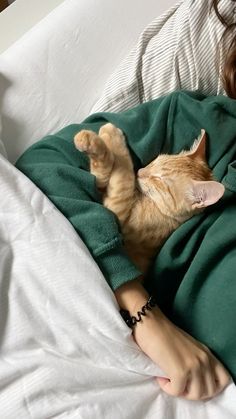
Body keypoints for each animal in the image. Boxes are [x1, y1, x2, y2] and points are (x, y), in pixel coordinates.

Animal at [74, 122, 225, 272]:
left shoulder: (118, 213)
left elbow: (124, 172)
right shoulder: (102, 189)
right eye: (155, 161)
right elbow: (100, 176)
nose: (140, 172)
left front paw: (108, 133)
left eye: (160, 180)